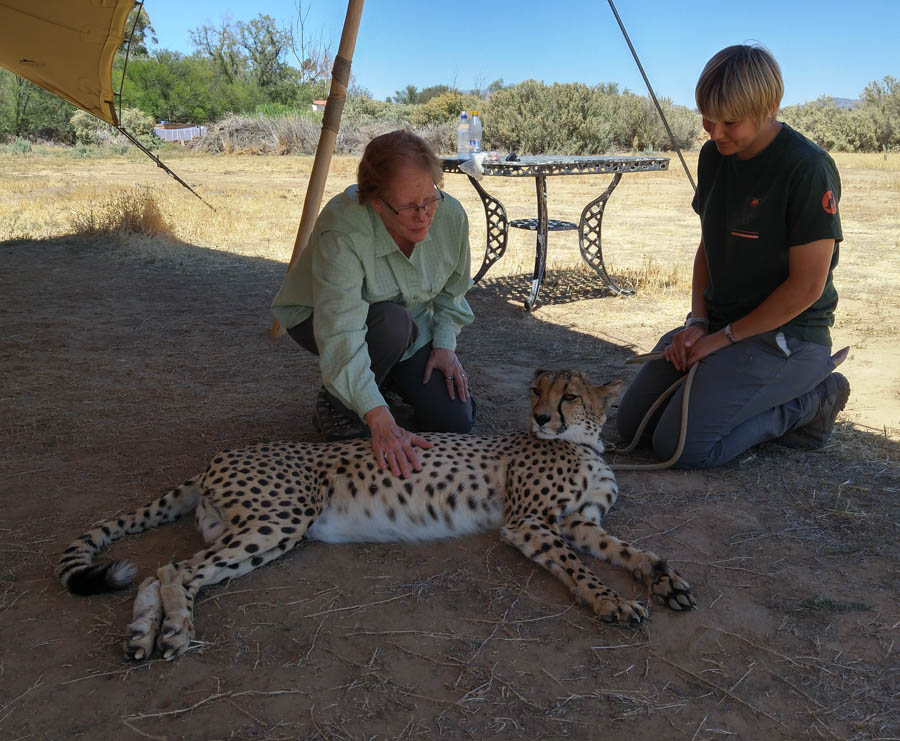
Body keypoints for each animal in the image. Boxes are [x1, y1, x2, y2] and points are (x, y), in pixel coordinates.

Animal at [58, 370, 696, 660]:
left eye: (568, 396)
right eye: (536, 393)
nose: (541, 418)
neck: (582, 445)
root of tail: (222, 454)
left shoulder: (581, 522)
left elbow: (630, 552)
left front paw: (666, 581)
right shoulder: (530, 523)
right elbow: (583, 568)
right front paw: (615, 603)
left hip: (249, 527)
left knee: (159, 569)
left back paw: (142, 634)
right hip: (283, 518)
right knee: (175, 570)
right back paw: (176, 632)